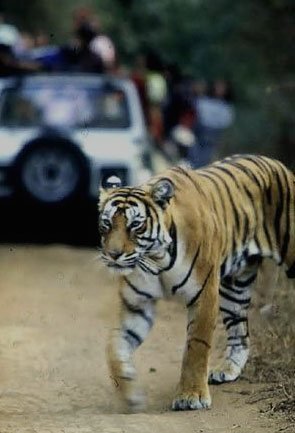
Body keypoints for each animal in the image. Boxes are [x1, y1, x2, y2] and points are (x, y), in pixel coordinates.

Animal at [98, 154, 295, 410]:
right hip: (234, 287)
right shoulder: (137, 305)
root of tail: (276, 162)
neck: (156, 259)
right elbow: (115, 346)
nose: (113, 255)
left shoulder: (204, 294)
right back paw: (228, 369)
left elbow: (196, 346)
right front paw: (131, 394)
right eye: (106, 224)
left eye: (135, 225)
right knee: (240, 331)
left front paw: (191, 396)